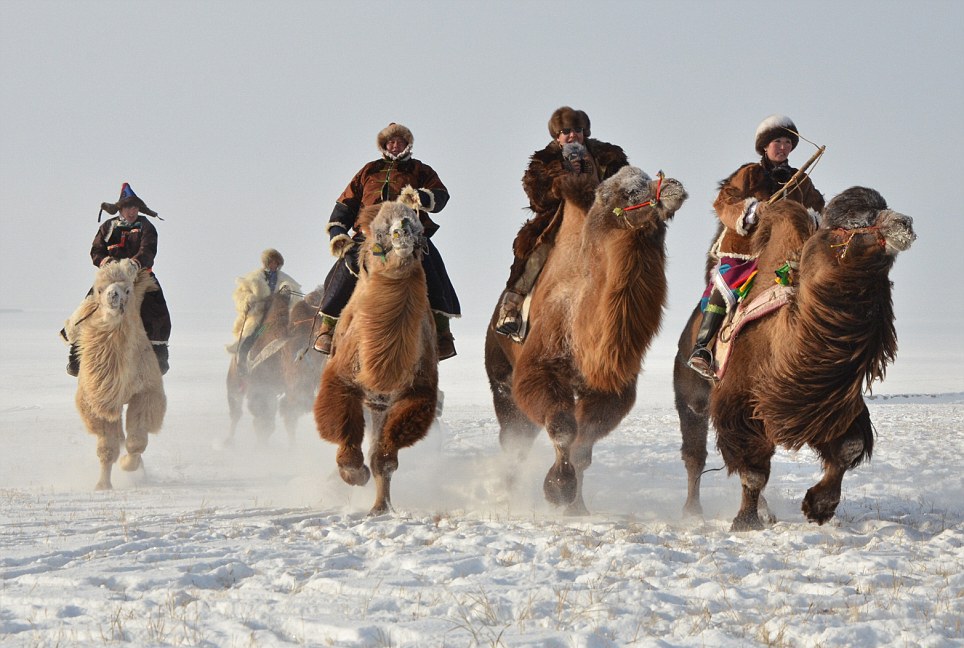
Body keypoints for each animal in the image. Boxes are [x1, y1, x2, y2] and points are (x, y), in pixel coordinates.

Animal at [67, 258, 167, 492]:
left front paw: (128, 465)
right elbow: (107, 447)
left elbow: (137, 440)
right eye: (99, 289)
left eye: (127, 290)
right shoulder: (97, 401)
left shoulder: (146, 392)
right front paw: (102, 485)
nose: (113, 295)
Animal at [314, 190, 438, 512]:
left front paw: (381, 506)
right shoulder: (340, 379)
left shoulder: (417, 391)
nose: (402, 228)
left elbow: (386, 457)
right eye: (379, 231)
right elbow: (341, 426)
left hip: (380, 405)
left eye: (419, 228)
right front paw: (354, 473)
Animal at [486, 167, 688, 516]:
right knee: (514, 438)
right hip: (501, 376)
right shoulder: (538, 369)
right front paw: (558, 489)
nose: (674, 186)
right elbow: (563, 428)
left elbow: (583, 446)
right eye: (630, 191)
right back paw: (510, 496)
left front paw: (576, 507)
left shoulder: (611, 389)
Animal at [676, 185, 916, 528]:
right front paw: (745, 522)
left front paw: (819, 507)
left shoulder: (824, 403)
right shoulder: (740, 401)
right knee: (695, 453)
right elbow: (753, 469)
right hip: (690, 392)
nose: (903, 222)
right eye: (849, 224)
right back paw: (693, 511)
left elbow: (849, 446)